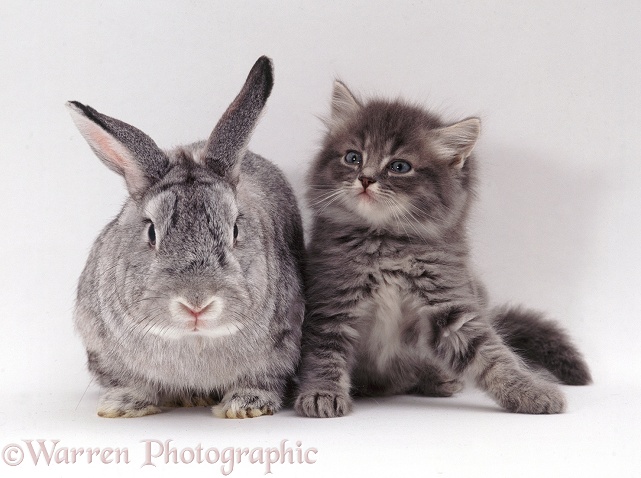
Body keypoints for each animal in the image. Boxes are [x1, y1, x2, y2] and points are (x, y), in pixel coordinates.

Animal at [67, 55, 304, 418]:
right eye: (151, 231)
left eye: (235, 229)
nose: (197, 304)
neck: (193, 339)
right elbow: (127, 382)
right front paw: (122, 405)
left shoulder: (283, 346)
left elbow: (262, 380)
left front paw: (244, 405)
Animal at [296, 80, 592, 416]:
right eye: (353, 157)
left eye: (399, 166)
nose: (366, 179)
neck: (387, 244)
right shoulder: (332, 300)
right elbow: (324, 352)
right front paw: (321, 393)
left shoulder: (450, 304)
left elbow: (492, 356)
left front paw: (529, 390)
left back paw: (439, 379)